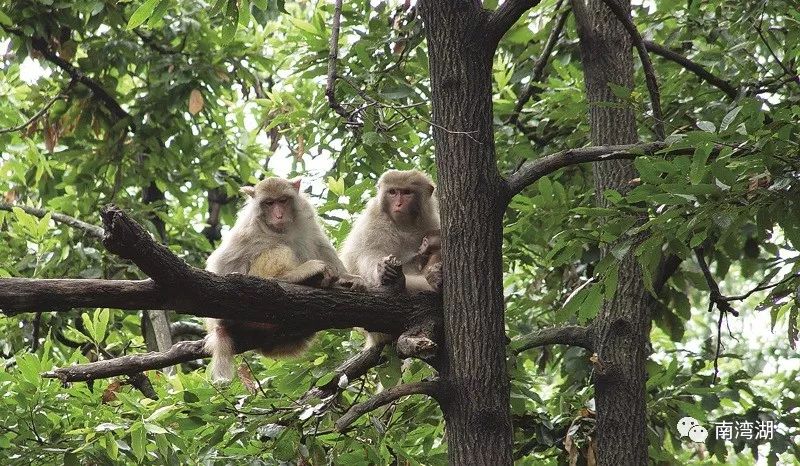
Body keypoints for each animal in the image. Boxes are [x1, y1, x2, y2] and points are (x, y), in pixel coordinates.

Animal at [205, 177, 360, 380]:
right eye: (269, 203)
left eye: (283, 201)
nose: (278, 215)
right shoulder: (248, 227)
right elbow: (222, 261)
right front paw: (219, 324)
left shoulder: (305, 214)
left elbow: (320, 245)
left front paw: (346, 277)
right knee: (278, 248)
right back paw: (295, 276)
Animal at [340, 169, 440, 348]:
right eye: (393, 192)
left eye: (406, 192)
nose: (398, 204)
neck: (405, 224)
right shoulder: (375, 221)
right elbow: (367, 254)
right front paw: (383, 270)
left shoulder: (431, 221)